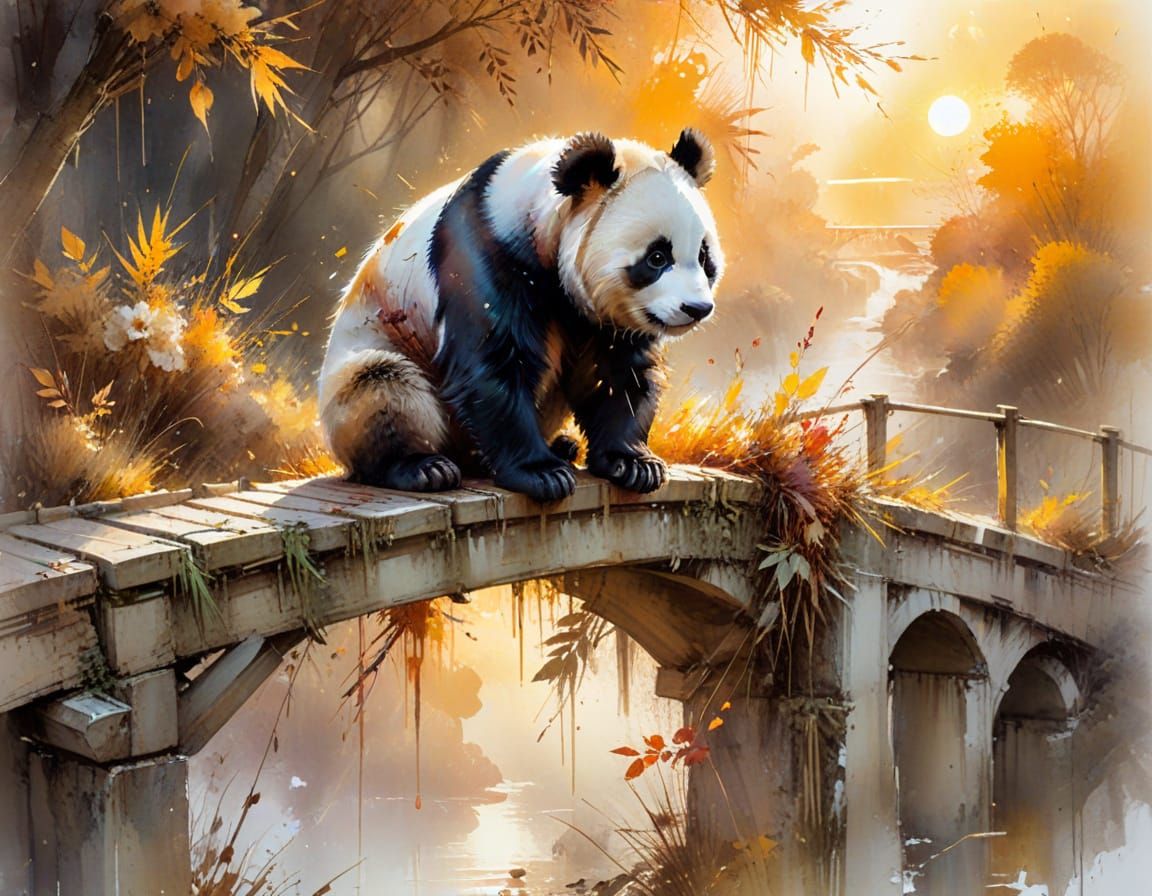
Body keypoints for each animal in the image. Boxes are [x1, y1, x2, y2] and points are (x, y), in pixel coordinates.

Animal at [318, 128, 724, 503]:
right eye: (657, 257)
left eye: (705, 258)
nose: (696, 308)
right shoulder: (483, 252)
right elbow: (495, 360)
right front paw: (541, 474)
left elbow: (615, 370)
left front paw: (633, 464)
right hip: (374, 347)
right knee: (380, 385)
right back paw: (423, 467)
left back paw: (562, 445)